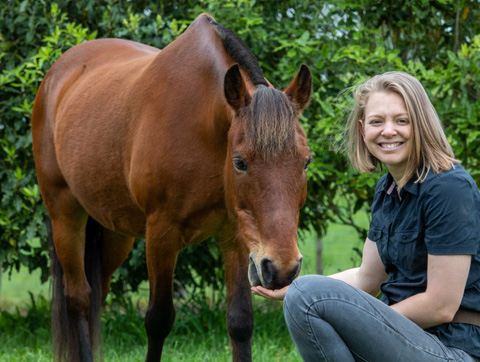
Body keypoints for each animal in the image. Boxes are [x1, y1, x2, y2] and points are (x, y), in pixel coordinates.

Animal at [31, 12, 314, 360]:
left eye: (306, 161)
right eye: (240, 163)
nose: (282, 268)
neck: (203, 123)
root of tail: (56, 76)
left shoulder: (235, 237)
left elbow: (240, 322)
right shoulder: (161, 234)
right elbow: (159, 320)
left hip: (115, 234)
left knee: (97, 292)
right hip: (65, 216)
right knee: (79, 299)